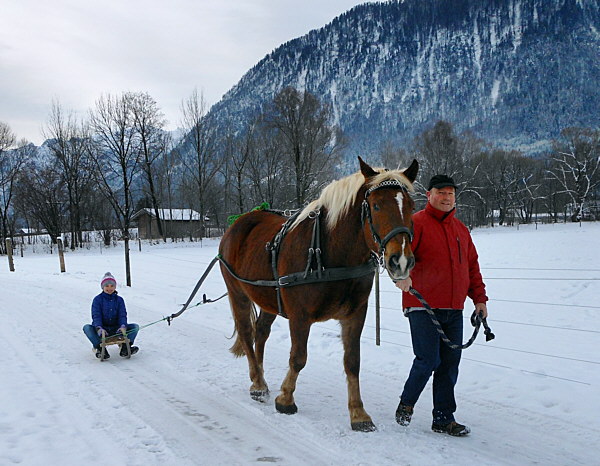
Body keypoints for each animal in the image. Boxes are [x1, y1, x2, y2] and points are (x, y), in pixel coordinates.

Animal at [218, 156, 420, 430]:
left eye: (411, 206)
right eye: (376, 206)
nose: (401, 261)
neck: (331, 251)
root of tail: (240, 222)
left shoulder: (356, 314)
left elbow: (352, 362)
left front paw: (358, 413)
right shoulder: (299, 316)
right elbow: (298, 358)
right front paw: (286, 399)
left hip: (269, 299)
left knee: (261, 333)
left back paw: (259, 378)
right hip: (237, 292)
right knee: (247, 334)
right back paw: (258, 384)